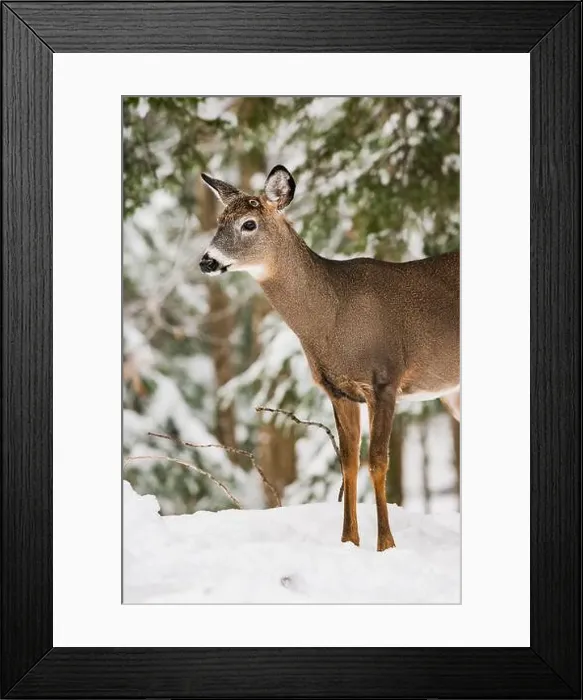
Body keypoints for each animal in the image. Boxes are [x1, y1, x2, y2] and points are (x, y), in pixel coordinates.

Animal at [199, 165, 459, 552]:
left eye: (249, 223)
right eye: (220, 220)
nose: (207, 260)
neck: (333, 318)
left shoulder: (385, 378)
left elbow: (377, 462)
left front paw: (386, 545)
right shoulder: (338, 390)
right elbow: (348, 462)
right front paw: (349, 541)